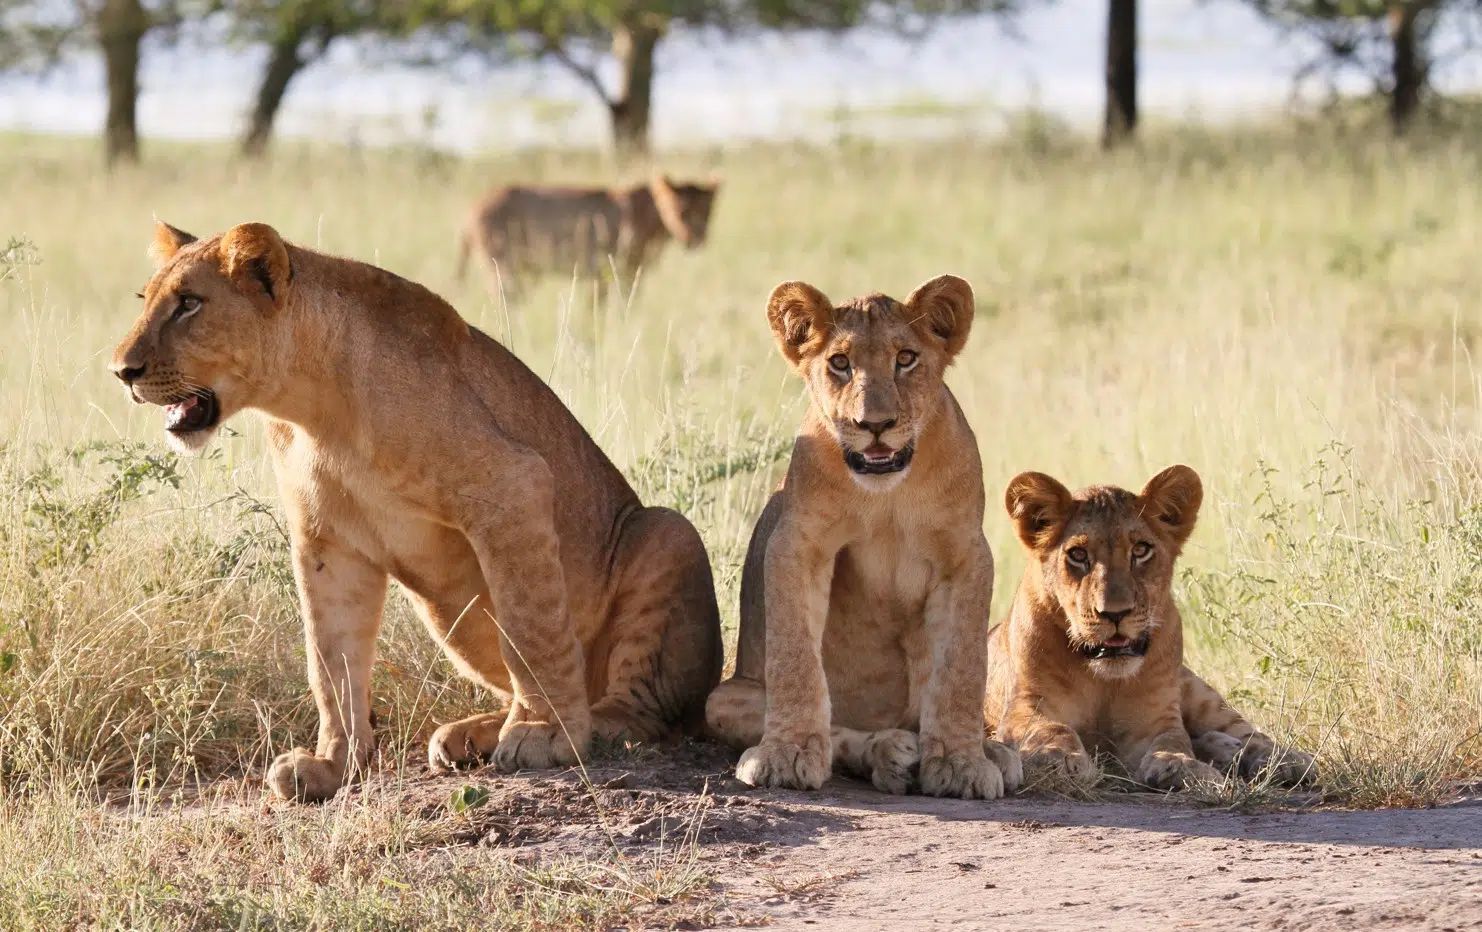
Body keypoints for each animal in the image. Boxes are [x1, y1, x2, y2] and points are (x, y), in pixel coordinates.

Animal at [110, 220, 723, 802]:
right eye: (145, 299)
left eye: (189, 304)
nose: (122, 371)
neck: (313, 410)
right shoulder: (327, 543)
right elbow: (330, 659)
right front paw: (332, 765)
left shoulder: (513, 484)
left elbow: (531, 629)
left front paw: (545, 733)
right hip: (448, 614)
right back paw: (470, 735)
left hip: (669, 532)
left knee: (645, 710)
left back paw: (580, 725)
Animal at [456, 175, 719, 294]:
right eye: (680, 210)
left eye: (706, 212)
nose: (695, 239)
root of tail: (473, 207)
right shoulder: (602, 272)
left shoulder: (629, 274)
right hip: (505, 269)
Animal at [704, 275, 1022, 799]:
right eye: (840, 363)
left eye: (905, 358)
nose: (874, 425)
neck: (887, 492)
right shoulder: (799, 542)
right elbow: (795, 659)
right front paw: (788, 755)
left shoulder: (966, 554)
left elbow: (961, 668)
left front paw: (961, 763)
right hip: (724, 697)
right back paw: (891, 752)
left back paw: (991, 752)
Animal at [985, 466, 1317, 790]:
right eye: (1078, 555)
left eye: (1141, 550)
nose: (1115, 613)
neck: (1103, 680)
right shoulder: (1026, 704)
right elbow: (1051, 729)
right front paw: (1060, 759)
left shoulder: (1156, 718)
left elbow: (1173, 739)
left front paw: (1180, 766)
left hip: (1199, 693)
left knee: (1245, 730)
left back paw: (1284, 761)